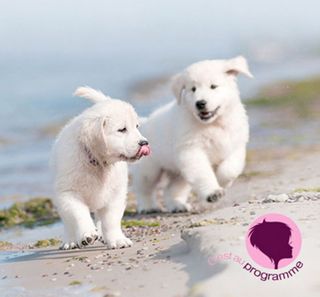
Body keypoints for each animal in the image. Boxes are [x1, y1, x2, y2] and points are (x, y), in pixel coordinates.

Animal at [50, 86, 151, 249]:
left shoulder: (115, 194)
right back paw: (70, 240)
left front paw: (117, 239)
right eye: (122, 129)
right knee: (68, 221)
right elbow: (78, 215)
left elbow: (111, 220)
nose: (144, 143)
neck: (96, 162)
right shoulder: (68, 193)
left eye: (137, 126)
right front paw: (87, 234)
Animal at [132, 56, 252, 213]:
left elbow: (230, 169)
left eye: (213, 86)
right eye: (193, 89)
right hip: (149, 168)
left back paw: (177, 205)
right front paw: (212, 192)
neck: (213, 124)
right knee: (144, 188)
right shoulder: (192, 151)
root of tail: (145, 121)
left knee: (172, 189)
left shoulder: (236, 146)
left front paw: (222, 181)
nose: (200, 103)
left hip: (179, 172)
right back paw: (147, 207)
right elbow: (203, 173)